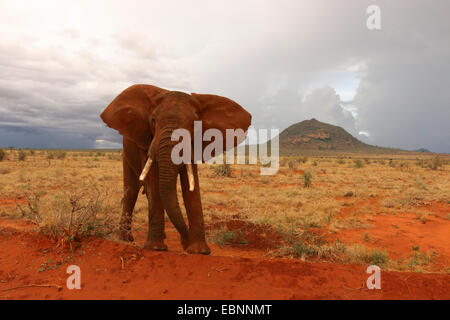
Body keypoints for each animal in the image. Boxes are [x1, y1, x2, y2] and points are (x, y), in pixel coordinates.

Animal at [100, 85, 251, 255]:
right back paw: (126, 239)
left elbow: (191, 186)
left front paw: (199, 251)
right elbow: (154, 183)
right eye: (153, 120)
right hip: (127, 151)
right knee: (131, 191)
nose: (185, 243)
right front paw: (156, 248)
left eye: (195, 126)